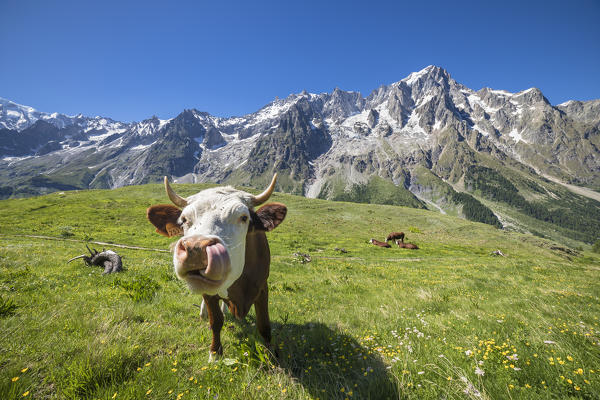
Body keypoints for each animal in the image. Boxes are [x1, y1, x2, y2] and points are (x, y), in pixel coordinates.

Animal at [146, 174, 286, 360]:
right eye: (184, 220)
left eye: (244, 217)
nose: (196, 248)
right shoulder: (209, 292)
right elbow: (216, 321)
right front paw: (214, 353)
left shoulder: (262, 287)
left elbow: (264, 324)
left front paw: (271, 354)